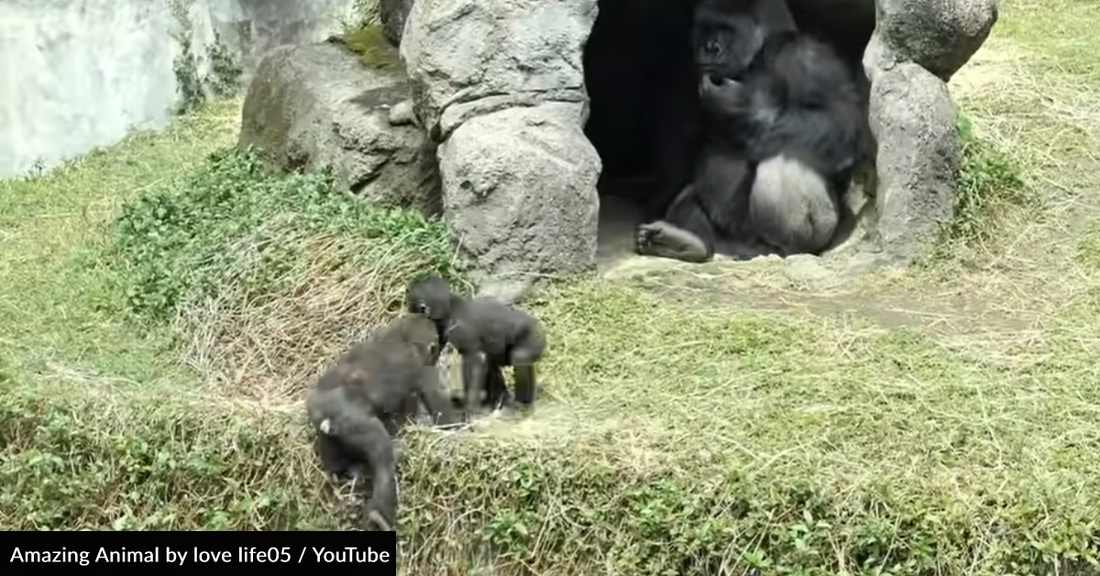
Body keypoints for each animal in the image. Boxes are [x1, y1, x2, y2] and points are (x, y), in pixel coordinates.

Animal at [306, 312, 460, 532]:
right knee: (383, 457)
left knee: (336, 463)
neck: (404, 337)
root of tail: (324, 416)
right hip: (352, 419)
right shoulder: (423, 369)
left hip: (325, 433)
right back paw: (378, 515)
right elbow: (441, 408)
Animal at [406, 274, 546, 417]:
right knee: (493, 363)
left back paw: (522, 405)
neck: (449, 307)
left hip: (534, 337)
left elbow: (476, 359)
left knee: (520, 357)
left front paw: (470, 408)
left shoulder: (459, 328)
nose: (411, 312)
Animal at [636, 0, 862, 262]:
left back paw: (788, 246)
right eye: (704, 29)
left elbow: (836, 120)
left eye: (725, 29)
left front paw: (739, 106)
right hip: (728, 242)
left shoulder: (806, 54)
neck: (759, 54)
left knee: (783, 157)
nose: (710, 48)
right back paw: (688, 242)